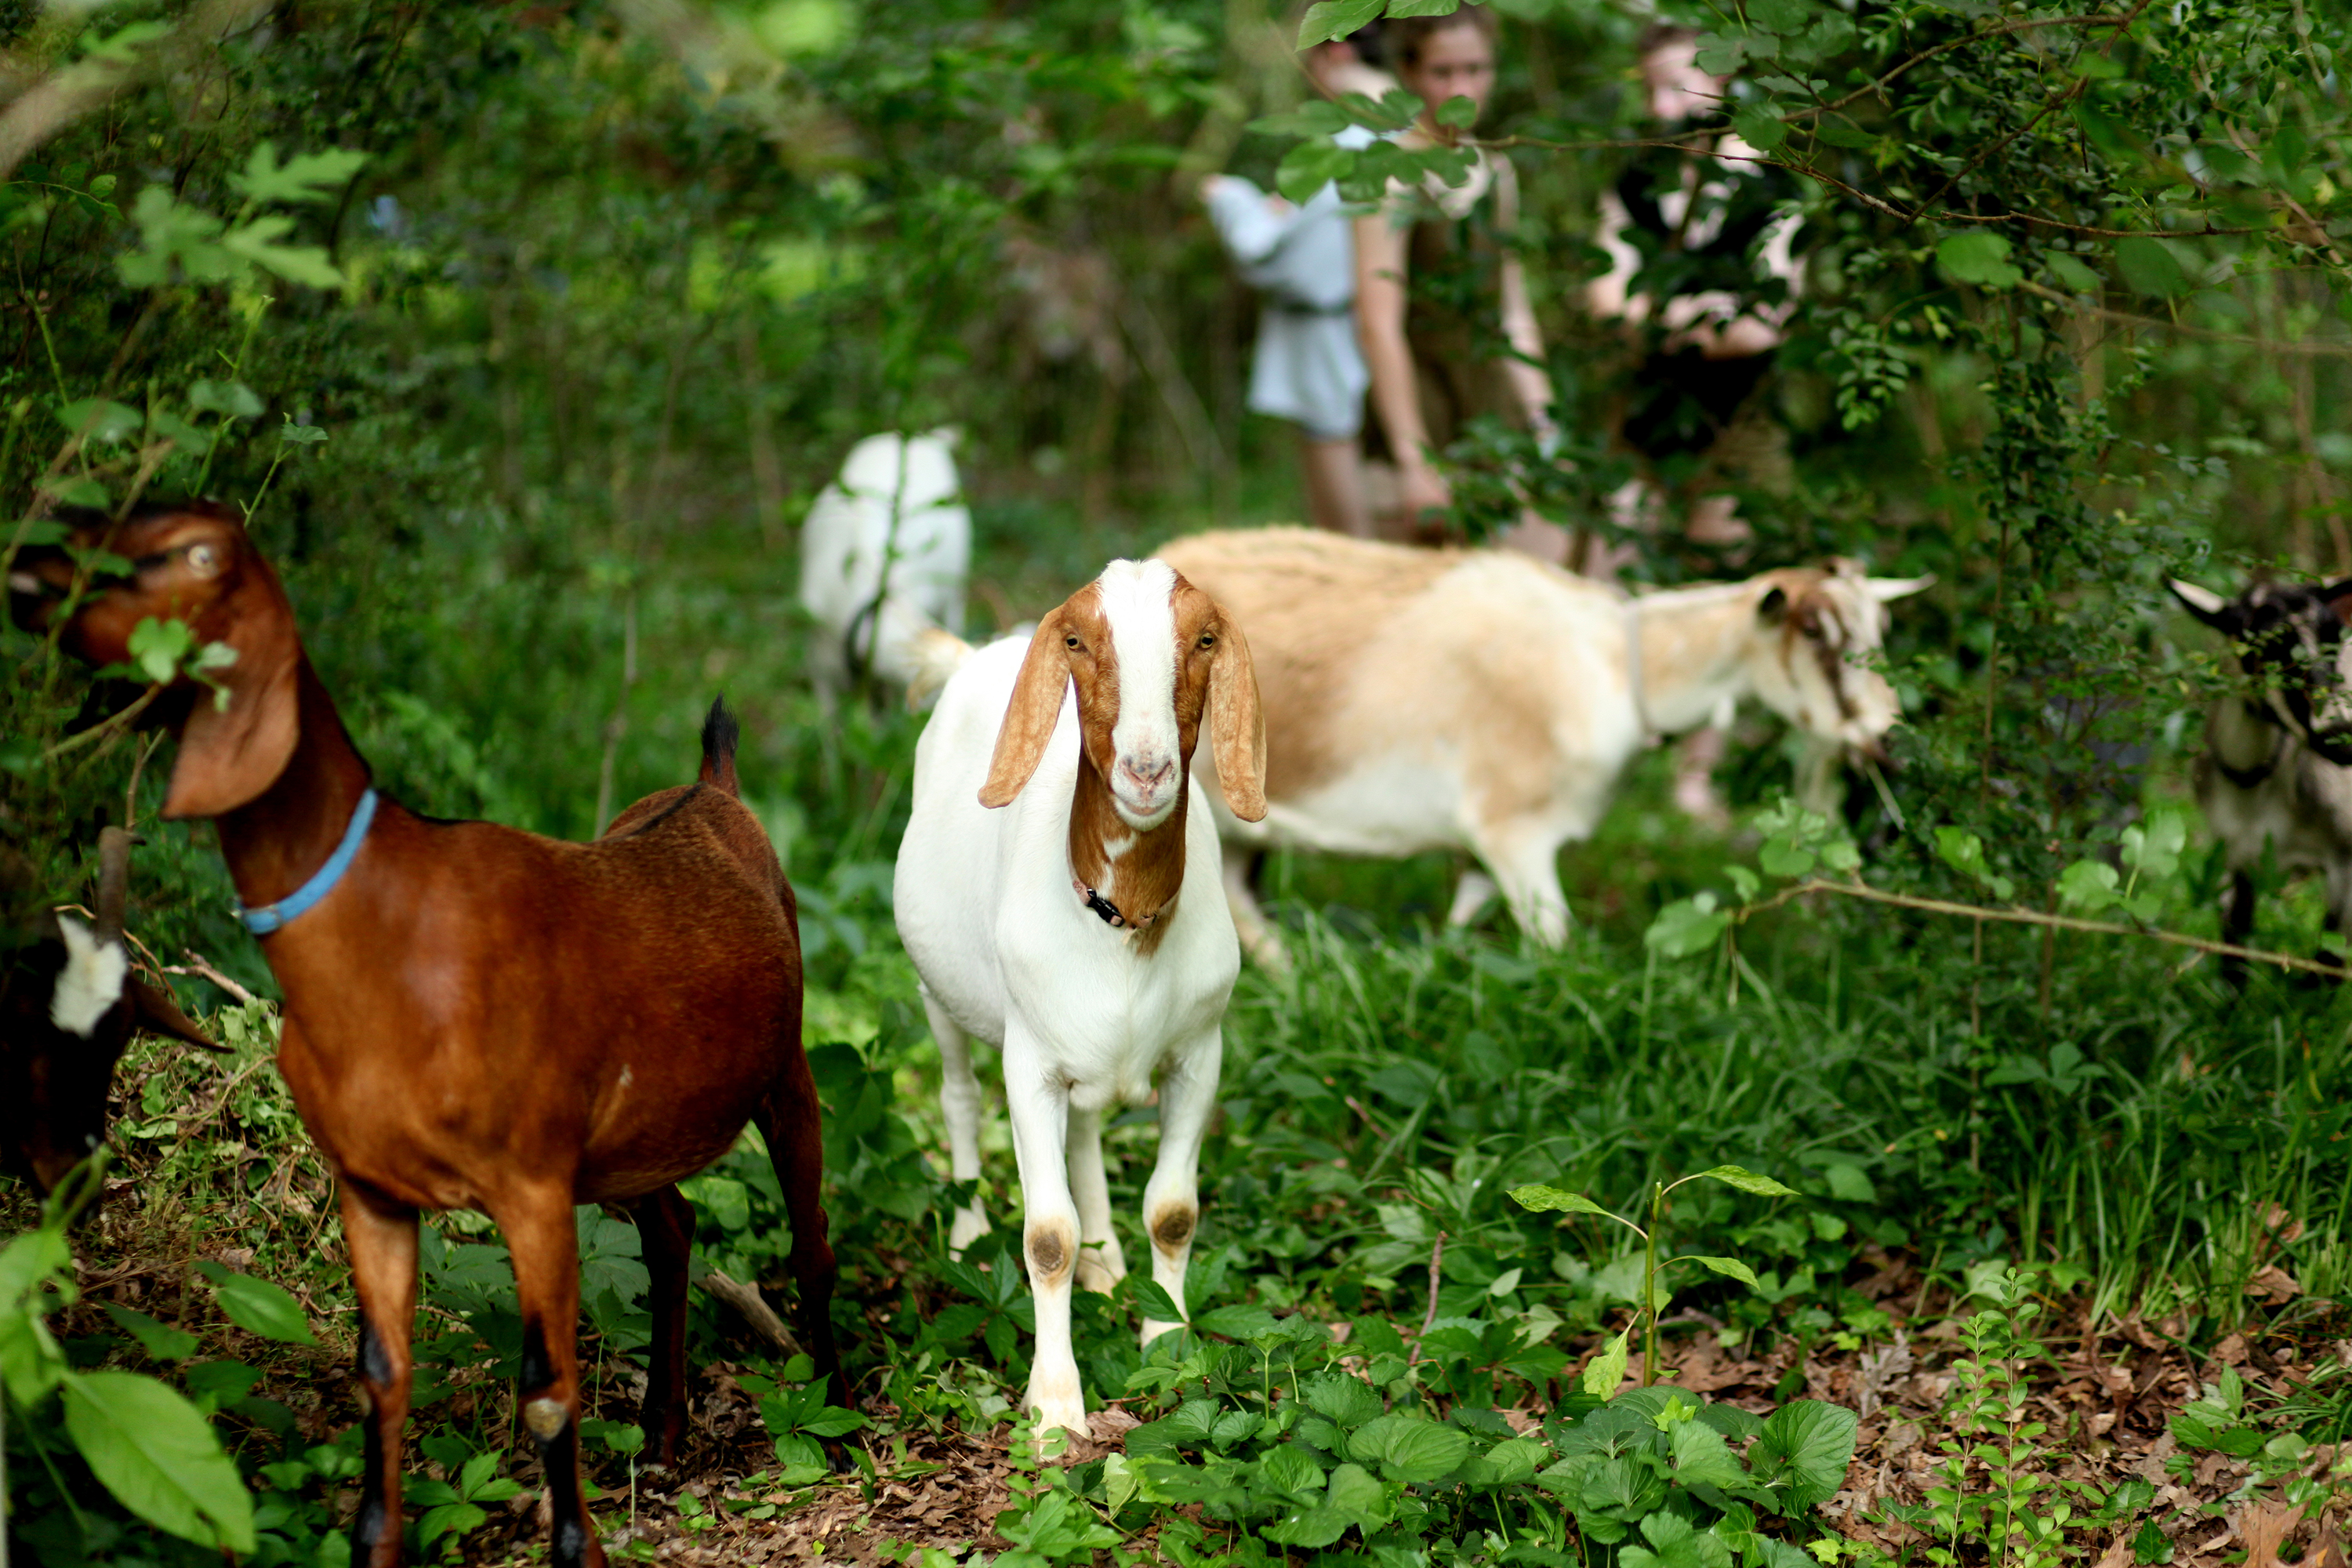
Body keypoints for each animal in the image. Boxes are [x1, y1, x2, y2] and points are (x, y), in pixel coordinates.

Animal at [893, 559, 1266, 1441]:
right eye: (1076, 642)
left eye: (1205, 639)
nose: (1147, 769)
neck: (1121, 920)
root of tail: (976, 653)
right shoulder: (1030, 1066)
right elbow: (1045, 1236)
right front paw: (1056, 1407)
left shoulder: (1200, 1053)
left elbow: (1172, 1211)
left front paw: (1168, 1341)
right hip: (937, 994)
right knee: (958, 1098)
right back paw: (966, 1233)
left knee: (1090, 1128)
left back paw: (1107, 1259)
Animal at [1154, 528, 1927, 958]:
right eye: (1817, 634)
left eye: (1882, 631)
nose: (1887, 740)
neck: (1615, 662)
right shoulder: (1514, 829)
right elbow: (1556, 949)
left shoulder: (1481, 848)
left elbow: (1464, 925)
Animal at [2169, 575, 2352, 986]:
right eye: (2264, 645)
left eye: (2335, 638)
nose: (2340, 732)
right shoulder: (2237, 858)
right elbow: (2233, 958)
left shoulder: (2347, 868)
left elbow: (2326, 968)